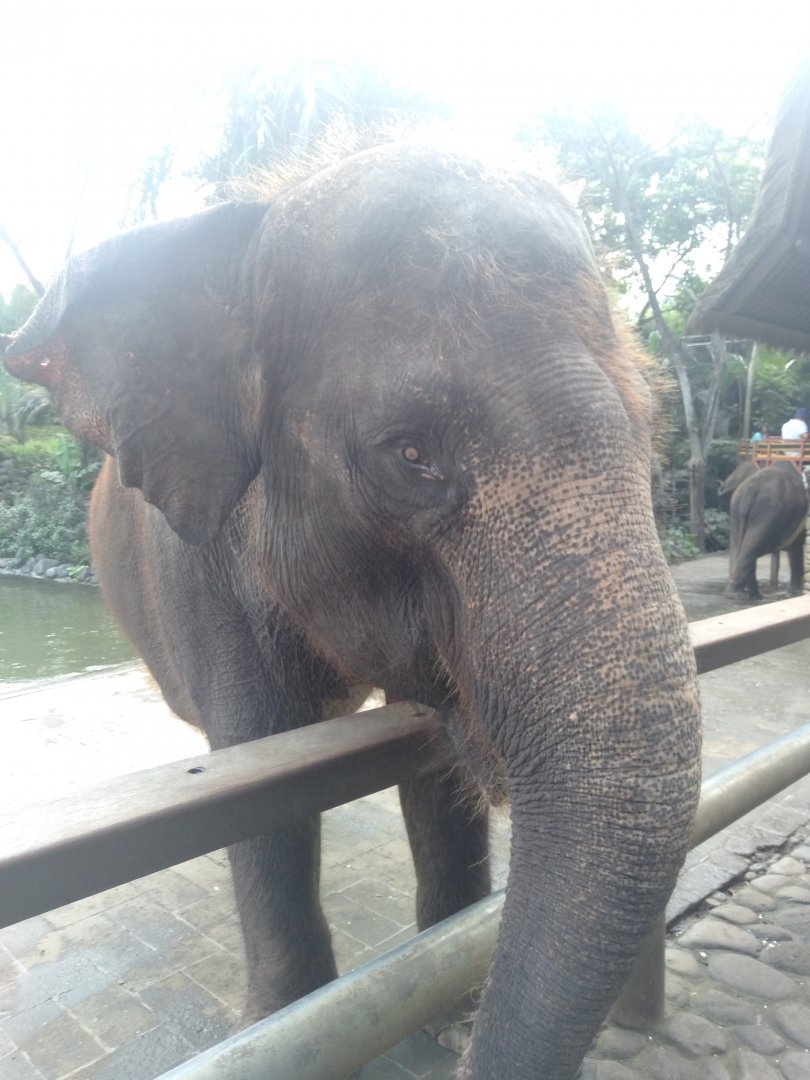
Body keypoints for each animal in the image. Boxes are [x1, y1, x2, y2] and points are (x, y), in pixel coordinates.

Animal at [2, 142, 701, 1080]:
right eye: (410, 454)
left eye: (651, 428)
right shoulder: (199, 571)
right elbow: (260, 777)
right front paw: (281, 1024)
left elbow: (431, 762)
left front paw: (449, 1009)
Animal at [725, 462, 809, 601]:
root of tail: (752, 487)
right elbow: (796, 548)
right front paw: (795, 593)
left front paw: (793, 593)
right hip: (768, 513)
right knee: (750, 548)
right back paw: (739, 595)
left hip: (736, 511)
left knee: (743, 547)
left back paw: (753, 595)